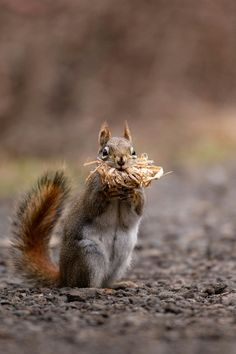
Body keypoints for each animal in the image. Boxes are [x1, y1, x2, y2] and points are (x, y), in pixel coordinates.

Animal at [11, 123, 145, 290]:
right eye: (105, 152)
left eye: (133, 152)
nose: (121, 161)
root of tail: (64, 276)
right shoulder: (91, 192)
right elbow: (92, 205)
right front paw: (106, 191)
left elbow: (139, 209)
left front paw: (133, 193)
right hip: (89, 256)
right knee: (86, 285)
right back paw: (103, 289)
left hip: (122, 260)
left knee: (105, 280)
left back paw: (119, 284)